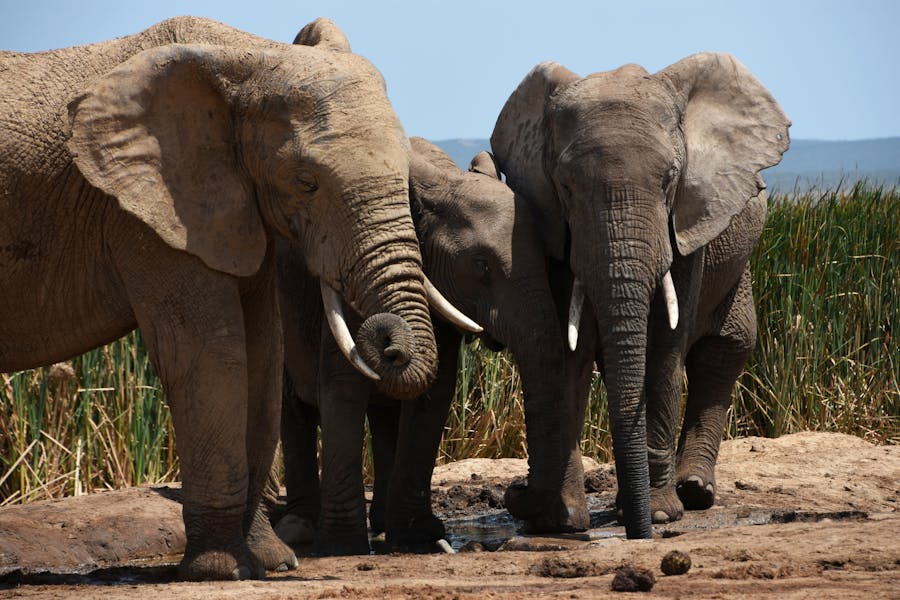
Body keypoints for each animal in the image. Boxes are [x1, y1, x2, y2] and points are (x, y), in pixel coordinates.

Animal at [0, 16, 479, 580]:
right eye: (306, 182)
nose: (387, 342)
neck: (245, 59)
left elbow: (263, 354)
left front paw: (273, 562)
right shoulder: (148, 209)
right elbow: (211, 351)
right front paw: (221, 570)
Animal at [273, 136, 568, 554]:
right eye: (481, 267)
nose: (517, 491)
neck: (441, 181)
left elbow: (435, 390)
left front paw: (420, 537)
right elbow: (342, 386)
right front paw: (343, 546)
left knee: (383, 415)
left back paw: (382, 524)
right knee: (293, 407)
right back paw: (299, 529)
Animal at [490, 53, 791, 538]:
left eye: (669, 180)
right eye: (565, 186)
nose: (639, 532)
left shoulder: (685, 224)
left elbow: (664, 348)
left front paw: (662, 514)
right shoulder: (551, 224)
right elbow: (569, 350)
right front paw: (564, 521)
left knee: (726, 347)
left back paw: (694, 492)